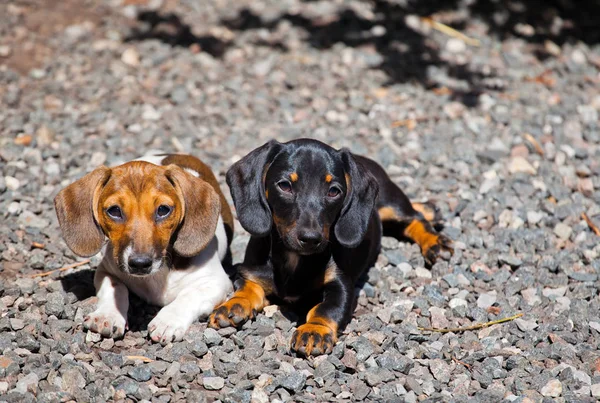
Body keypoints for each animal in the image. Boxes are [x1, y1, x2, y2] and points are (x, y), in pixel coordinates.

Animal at [55, 155, 234, 344]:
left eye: (163, 210)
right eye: (114, 211)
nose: (140, 264)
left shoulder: (216, 282)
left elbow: (188, 295)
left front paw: (168, 320)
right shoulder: (107, 271)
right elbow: (116, 287)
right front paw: (108, 315)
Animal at [209, 139, 452, 356]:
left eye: (334, 191)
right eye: (285, 185)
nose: (310, 238)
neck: (295, 258)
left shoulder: (341, 285)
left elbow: (326, 309)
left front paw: (314, 330)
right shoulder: (251, 272)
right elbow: (247, 287)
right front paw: (234, 304)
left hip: (391, 204)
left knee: (415, 218)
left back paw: (435, 242)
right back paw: (430, 208)